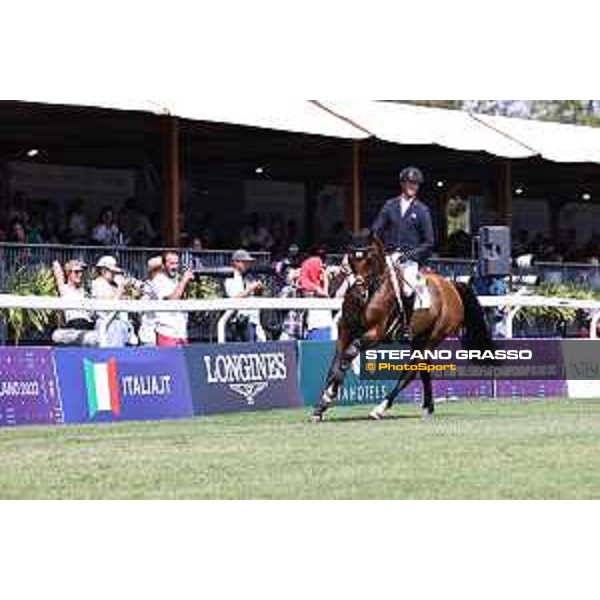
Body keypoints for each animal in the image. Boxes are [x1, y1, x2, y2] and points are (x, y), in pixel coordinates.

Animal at [312, 230, 494, 422]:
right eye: (352, 258)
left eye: (369, 259)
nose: (359, 293)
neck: (372, 291)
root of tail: (450, 285)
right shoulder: (345, 330)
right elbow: (335, 363)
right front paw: (320, 407)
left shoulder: (374, 334)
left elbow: (348, 355)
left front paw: (328, 395)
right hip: (419, 338)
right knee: (423, 370)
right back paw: (427, 408)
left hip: (433, 337)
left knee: (410, 372)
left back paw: (380, 409)